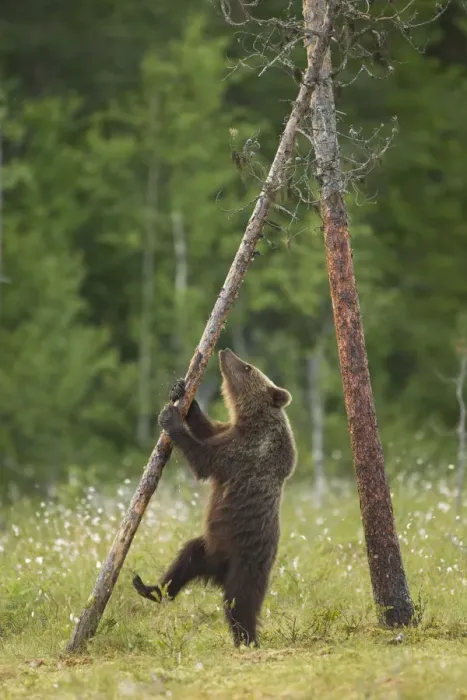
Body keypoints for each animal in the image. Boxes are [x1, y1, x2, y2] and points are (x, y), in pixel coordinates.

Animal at [132, 348, 296, 647]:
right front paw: (182, 394)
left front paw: (171, 418)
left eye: (247, 367)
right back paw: (150, 588)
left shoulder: (245, 451)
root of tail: (219, 572)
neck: (251, 421)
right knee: (184, 561)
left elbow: (203, 459)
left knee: (239, 603)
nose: (225, 350)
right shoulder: (229, 431)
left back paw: (248, 640)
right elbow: (208, 429)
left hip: (245, 562)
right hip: (209, 549)